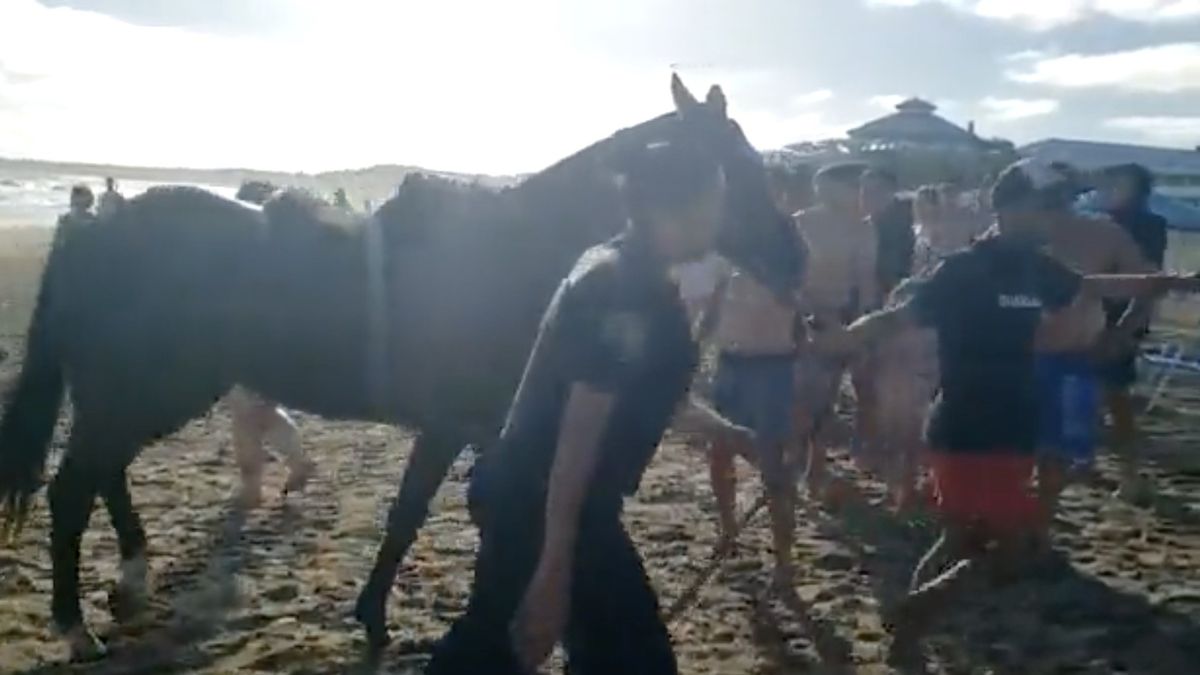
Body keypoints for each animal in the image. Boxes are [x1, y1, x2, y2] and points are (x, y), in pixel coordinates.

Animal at [2, 73, 806, 658]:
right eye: (735, 166)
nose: (790, 255)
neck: (517, 251)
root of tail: (96, 223)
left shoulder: (474, 427)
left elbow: (428, 515)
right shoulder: (452, 423)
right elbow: (414, 511)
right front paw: (375, 616)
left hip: (138, 391)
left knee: (103, 473)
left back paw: (131, 577)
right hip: (148, 389)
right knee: (74, 488)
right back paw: (77, 625)